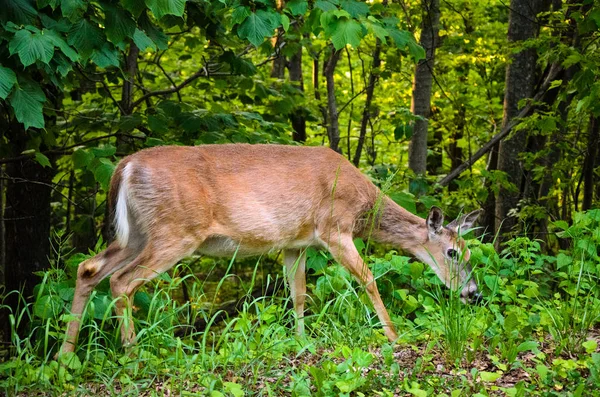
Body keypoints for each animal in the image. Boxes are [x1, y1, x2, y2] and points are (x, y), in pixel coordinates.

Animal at [58, 144, 482, 354]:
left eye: (471, 254)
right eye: (453, 253)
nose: (473, 294)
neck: (363, 205)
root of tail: (124, 167)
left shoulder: (296, 243)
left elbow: (298, 293)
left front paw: (301, 340)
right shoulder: (333, 229)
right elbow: (368, 279)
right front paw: (393, 336)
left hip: (136, 234)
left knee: (88, 268)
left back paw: (65, 356)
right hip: (174, 232)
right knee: (122, 282)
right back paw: (132, 353)